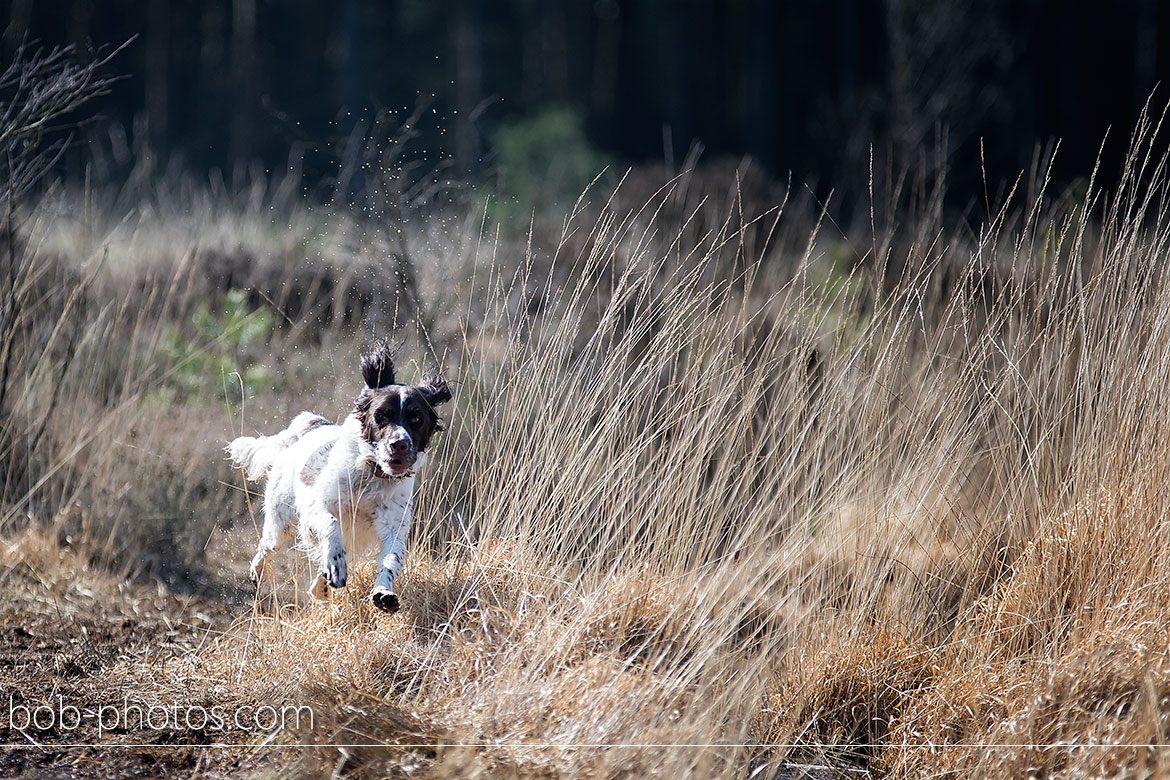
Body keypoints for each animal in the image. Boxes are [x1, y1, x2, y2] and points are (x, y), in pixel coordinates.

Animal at [225, 343, 449, 612]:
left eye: (417, 418)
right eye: (381, 416)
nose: (399, 444)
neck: (371, 478)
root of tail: (314, 425)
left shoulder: (393, 528)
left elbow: (391, 559)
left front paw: (383, 593)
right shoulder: (316, 509)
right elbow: (331, 524)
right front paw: (337, 565)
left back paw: (321, 586)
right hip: (281, 519)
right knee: (267, 546)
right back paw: (259, 571)